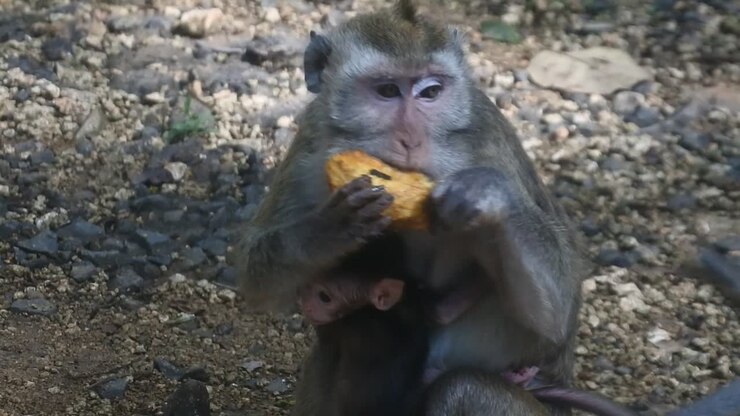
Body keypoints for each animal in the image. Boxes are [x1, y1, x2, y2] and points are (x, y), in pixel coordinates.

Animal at [227, 1, 584, 415]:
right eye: (387, 91)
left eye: (431, 91)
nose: (411, 139)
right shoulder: (312, 143)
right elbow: (256, 274)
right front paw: (328, 229)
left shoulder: (487, 144)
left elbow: (558, 313)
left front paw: (487, 191)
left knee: (462, 387)